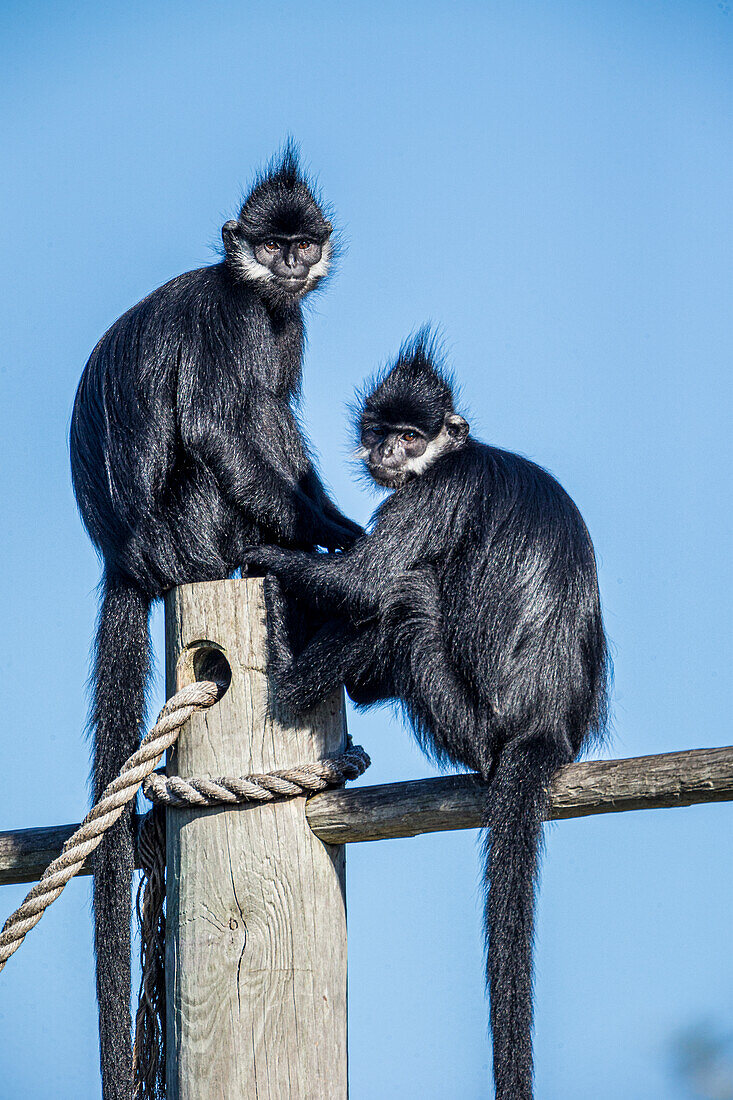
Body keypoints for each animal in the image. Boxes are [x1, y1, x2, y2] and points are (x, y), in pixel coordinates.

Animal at [69, 144, 360, 1100]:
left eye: (301, 243)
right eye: (270, 245)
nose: (291, 265)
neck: (256, 292)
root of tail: (129, 558)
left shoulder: (283, 320)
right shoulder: (232, 316)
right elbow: (217, 425)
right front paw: (338, 539)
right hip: (195, 523)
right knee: (235, 424)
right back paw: (276, 552)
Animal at [236, 332, 607, 1100]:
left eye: (412, 437)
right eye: (382, 432)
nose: (388, 454)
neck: (456, 453)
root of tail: (543, 729)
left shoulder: (437, 489)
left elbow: (366, 584)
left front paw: (270, 555)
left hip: (468, 722)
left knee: (405, 597)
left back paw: (290, 674)